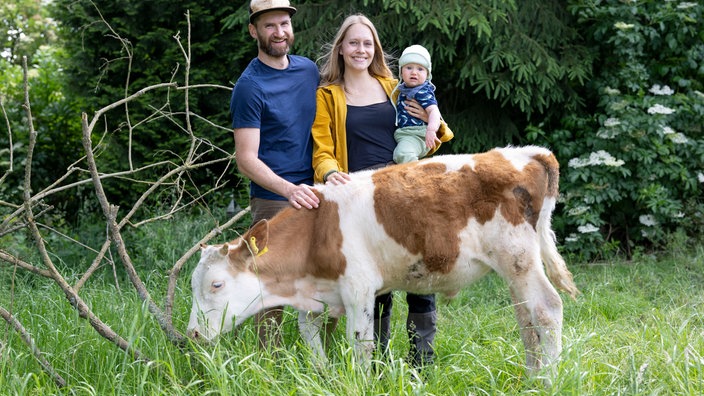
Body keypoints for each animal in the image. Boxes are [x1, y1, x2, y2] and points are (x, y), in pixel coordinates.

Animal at [187, 145, 576, 374]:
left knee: (546, 308)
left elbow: (361, 343)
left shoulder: (359, 288)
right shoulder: (318, 295)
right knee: (526, 319)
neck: (317, 230)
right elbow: (310, 336)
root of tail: (529, 153)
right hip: (513, 267)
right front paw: (323, 373)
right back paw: (531, 374)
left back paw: (548, 379)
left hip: (518, 256)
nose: (192, 333)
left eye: (217, 284)